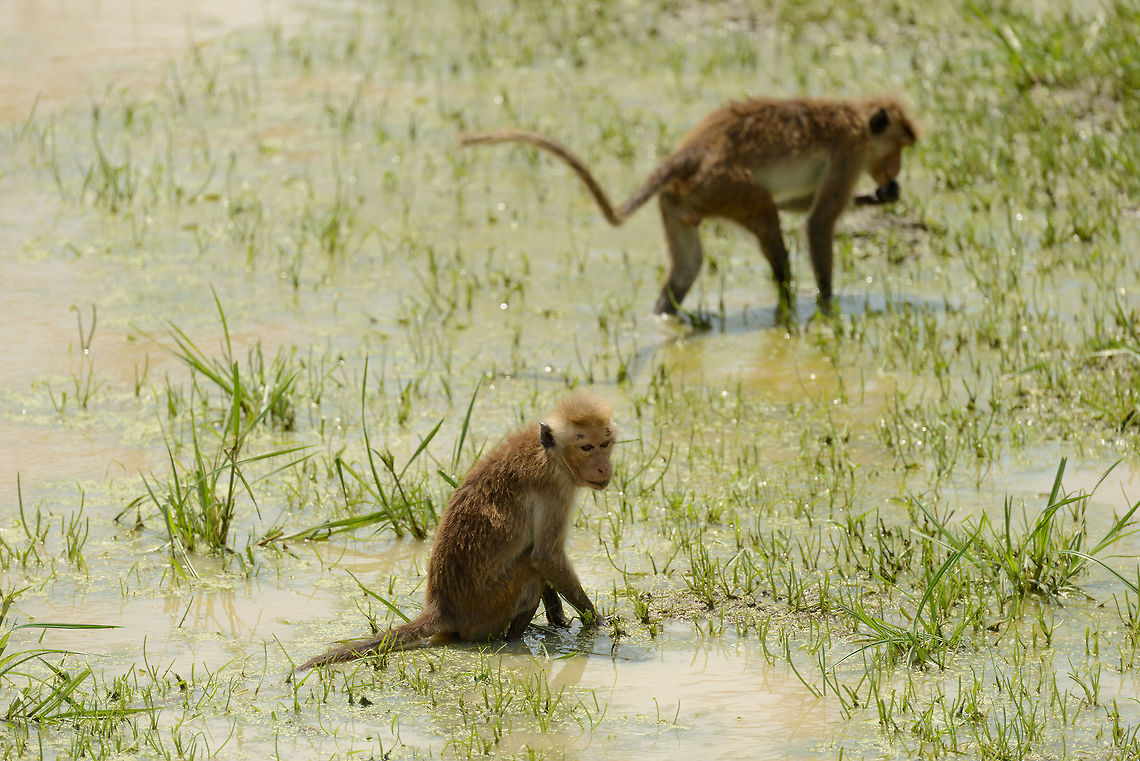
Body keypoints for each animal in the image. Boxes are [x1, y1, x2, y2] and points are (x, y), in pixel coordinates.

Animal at [298, 393, 614, 670]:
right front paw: (597, 621)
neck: (548, 452)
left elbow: (542, 555)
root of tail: (442, 608)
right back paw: (513, 639)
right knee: (529, 571)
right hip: (488, 607)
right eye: (587, 447)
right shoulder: (556, 488)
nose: (604, 468)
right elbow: (545, 557)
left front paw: (558, 613)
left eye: (606, 443)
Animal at [459, 95, 918, 316]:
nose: (897, 170)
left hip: (680, 200)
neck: (854, 117)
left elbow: (801, 204)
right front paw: (827, 305)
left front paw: (883, 196)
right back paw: (787, 307)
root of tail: (688, 154)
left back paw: (665, 316)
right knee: (766, 215)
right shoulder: (849, 149)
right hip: (726, 186)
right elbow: (819, 220)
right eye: (897, 147)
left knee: (687, 266)